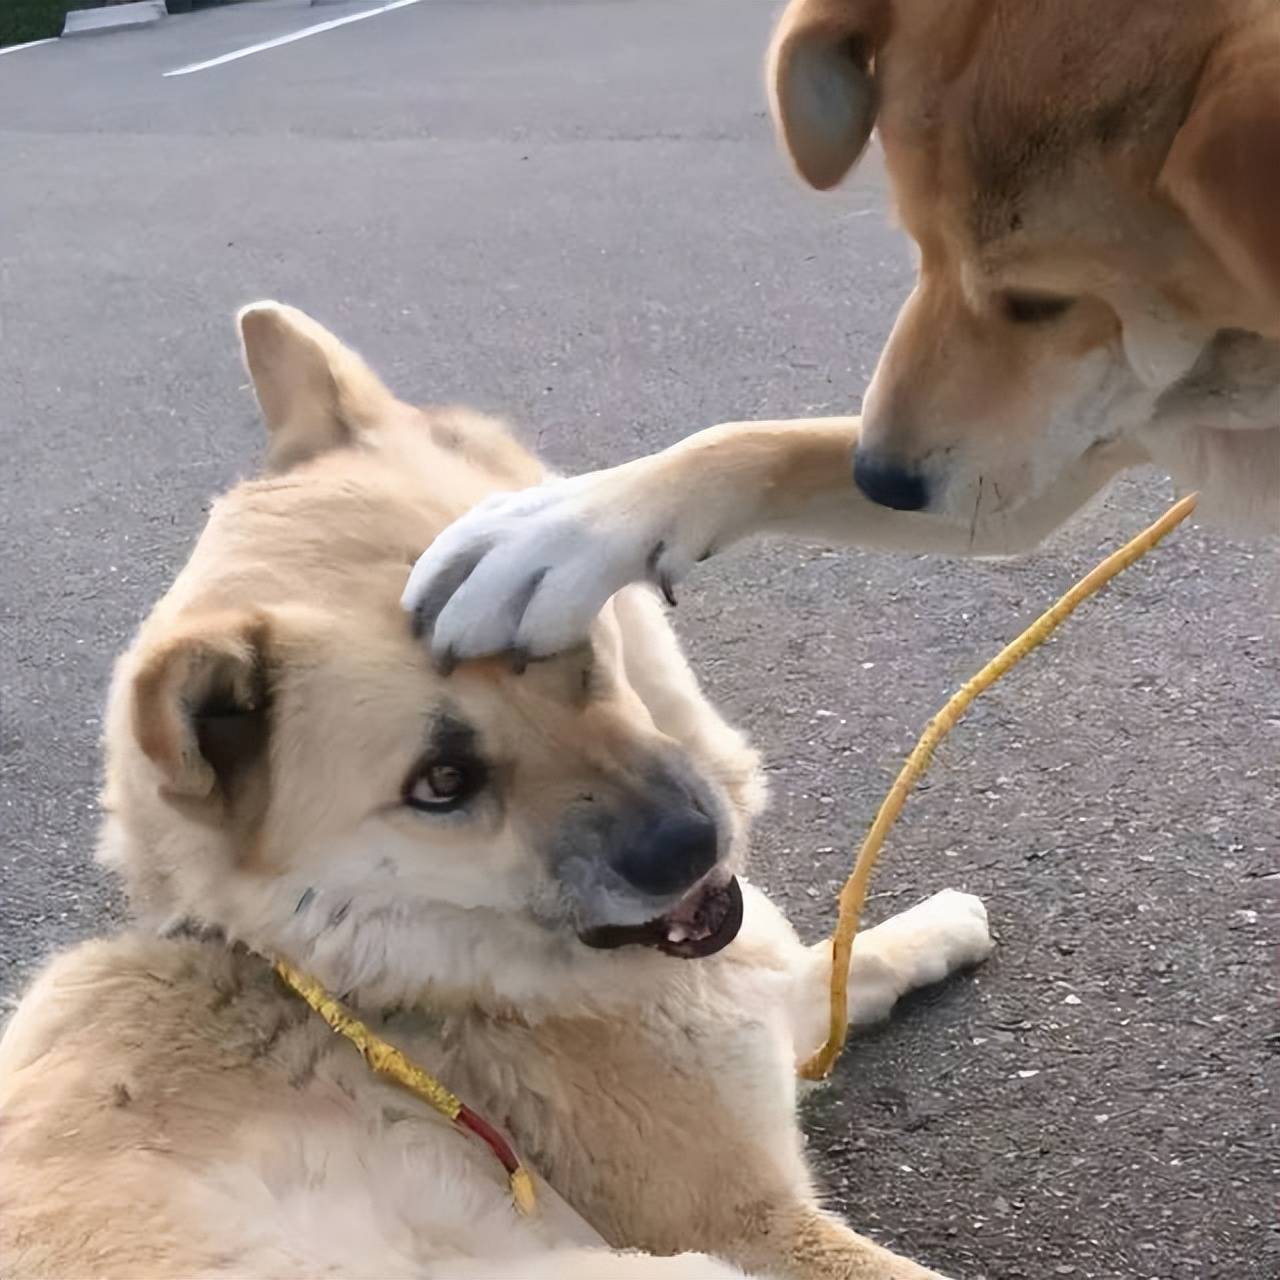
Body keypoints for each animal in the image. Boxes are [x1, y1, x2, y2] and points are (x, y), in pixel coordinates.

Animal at [401, 0, 1280, 665]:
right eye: (917, 248)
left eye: (1039, 300)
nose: (881, 480)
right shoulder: (1034, 468)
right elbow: (750, 443)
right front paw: (564, 525)